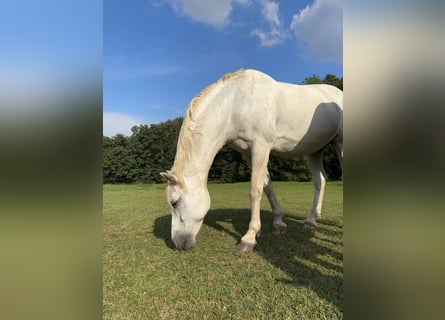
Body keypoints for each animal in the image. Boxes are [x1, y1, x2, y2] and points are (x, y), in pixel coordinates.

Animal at [160, 69, 344, 251]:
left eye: (174, 203)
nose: (178, 244)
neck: (235, 103)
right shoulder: (248, 152)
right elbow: (266, 185)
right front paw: (278, 223)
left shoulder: (261, 147)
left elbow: (255, 190)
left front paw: (249, 238)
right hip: (315, 151)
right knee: (320, 181)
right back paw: (311, 220)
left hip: (339, 144)